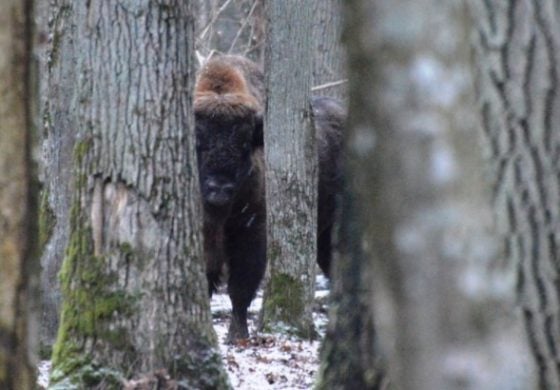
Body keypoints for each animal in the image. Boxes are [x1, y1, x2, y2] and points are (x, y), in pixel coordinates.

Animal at [192, 54, 344, 342]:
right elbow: (206, 277)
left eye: (243, 144)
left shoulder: (253, 231)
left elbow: (240, 287)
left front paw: (236, 335)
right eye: (198, 142)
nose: (219, 188)